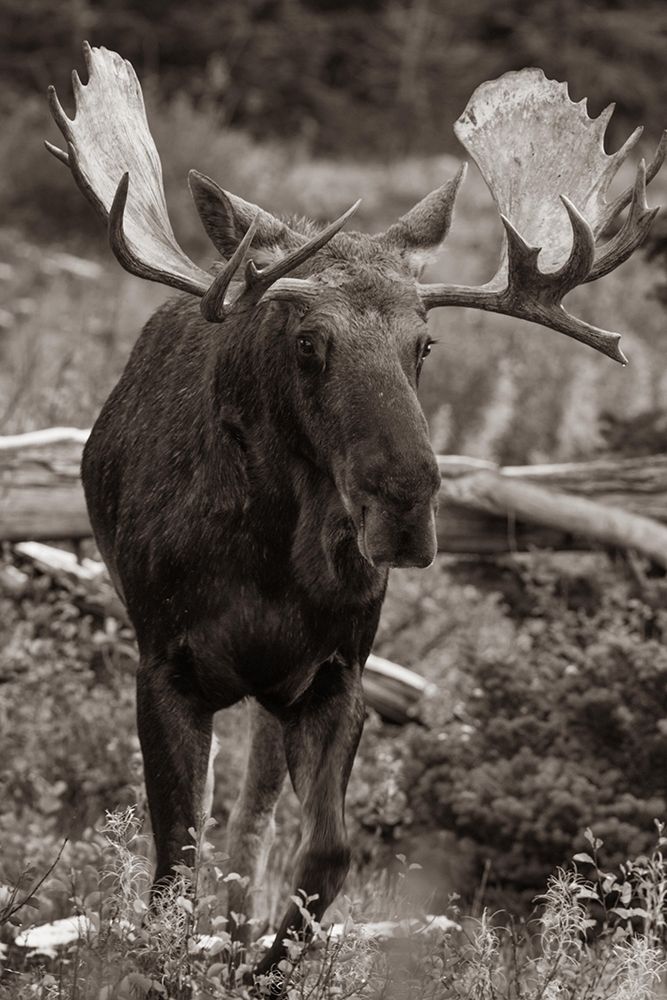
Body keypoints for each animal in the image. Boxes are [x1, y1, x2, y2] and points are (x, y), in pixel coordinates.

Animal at [47, 44, 664, 978]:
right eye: (308, 341)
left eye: (425, 342)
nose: (405, 503)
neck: (266, 558)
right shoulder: (163, 666)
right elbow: (170, 865)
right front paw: (174, 958)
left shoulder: (337, 674)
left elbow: (327, 853)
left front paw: (265, 960)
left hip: (278, 693)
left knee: (253, 819)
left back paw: (237, 927)